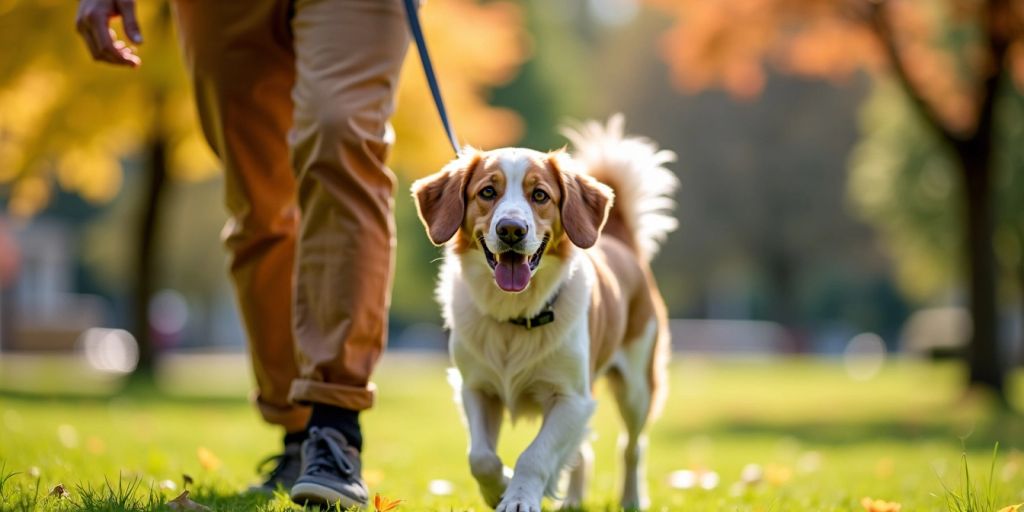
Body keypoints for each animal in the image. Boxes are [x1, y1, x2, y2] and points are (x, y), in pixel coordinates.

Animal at [411, 117, 675, 512]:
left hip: (637, 388)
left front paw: (519, 496)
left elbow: (534, 456)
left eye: (539, 195)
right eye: (487, 192)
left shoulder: (572, 399)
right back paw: (573, 500)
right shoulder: (475, 387)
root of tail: (621, 242)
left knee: (631, 447)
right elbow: (481, 458)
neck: (515, 315)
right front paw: (500, 487)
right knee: (583, 454)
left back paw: (631, 499)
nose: (511, 229)